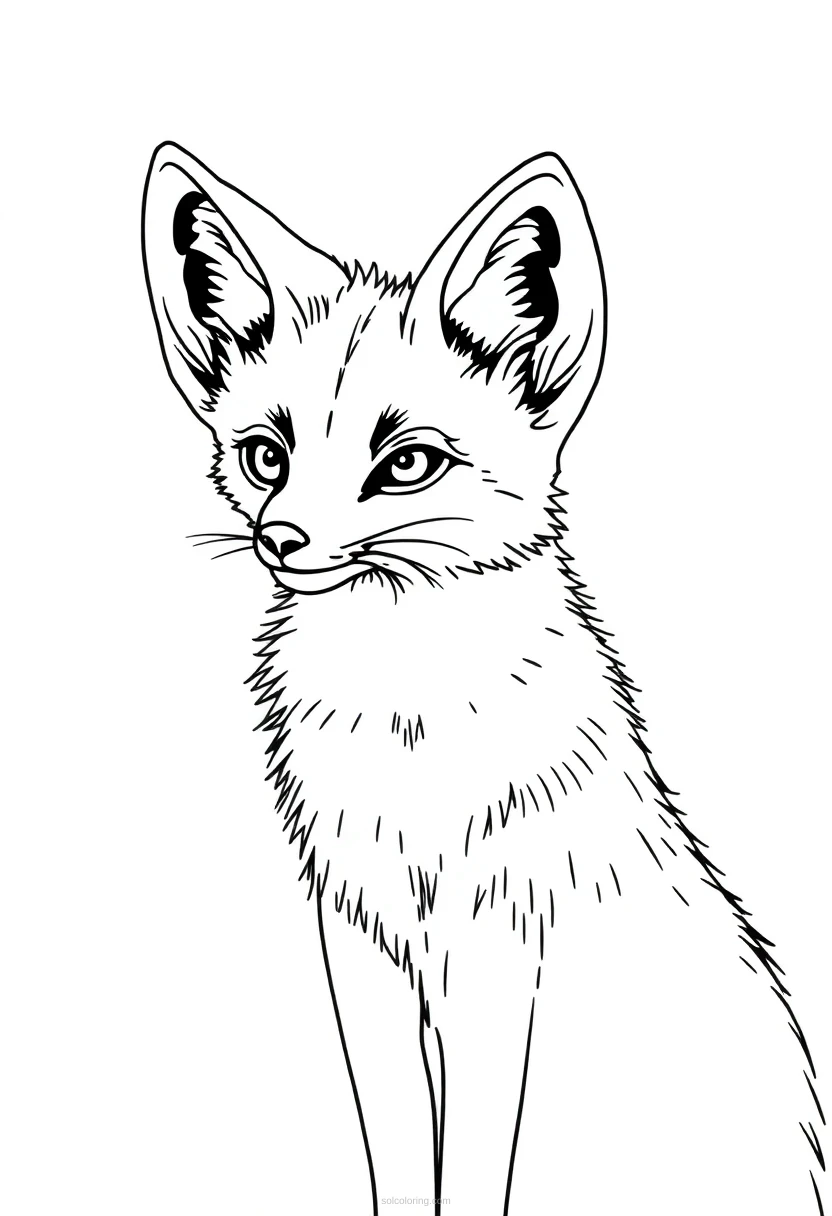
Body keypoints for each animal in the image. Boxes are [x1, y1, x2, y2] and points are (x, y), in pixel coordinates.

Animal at [141, 143, 824, 1214]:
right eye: (265, 455)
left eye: (406, 463)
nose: (281, 539)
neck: (405, 742)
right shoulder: (363, 946)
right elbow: (397, 1157)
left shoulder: (502, 956)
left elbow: (469, 1170)